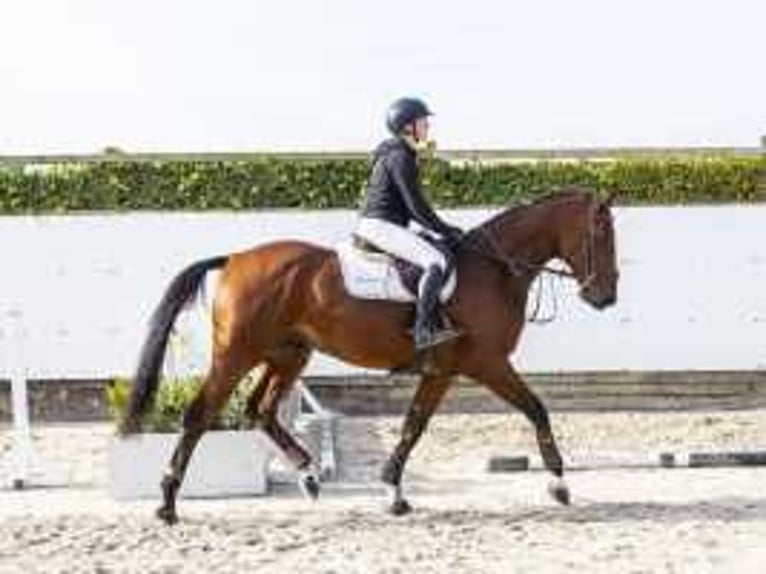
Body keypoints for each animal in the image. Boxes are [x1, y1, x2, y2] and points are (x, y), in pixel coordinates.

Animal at [123, 188, 620, 528]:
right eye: (602, 235)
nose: (606, 297)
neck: (493, 270)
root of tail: (234, 259)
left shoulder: (443, 371)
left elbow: (413, 425)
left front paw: (393, 491)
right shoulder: (488, 363)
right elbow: (536, 408)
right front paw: (559, 483)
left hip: (288, 354)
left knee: (259, 409)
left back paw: (309, 476)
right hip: (237, 354)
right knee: (200, 414)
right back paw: (167, 503)